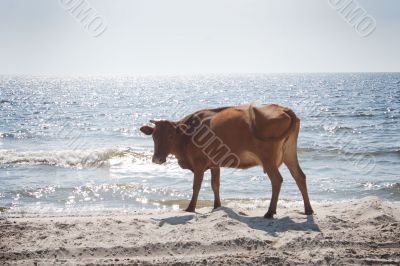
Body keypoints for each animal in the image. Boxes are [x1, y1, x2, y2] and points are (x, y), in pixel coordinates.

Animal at [139, 104, 314, 218]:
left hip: (268, 159)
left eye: (170, 136)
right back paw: (308, 210)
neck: (187, 136)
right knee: (300, 176)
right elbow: (215, 185)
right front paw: (217, 206)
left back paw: (270, 212)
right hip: (289, 153)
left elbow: (196, 186)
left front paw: (190, 208)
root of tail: (284, 109)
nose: (157, 159)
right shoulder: (215, 164)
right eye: (154, 136)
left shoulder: (199, 164)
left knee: (277, 180)